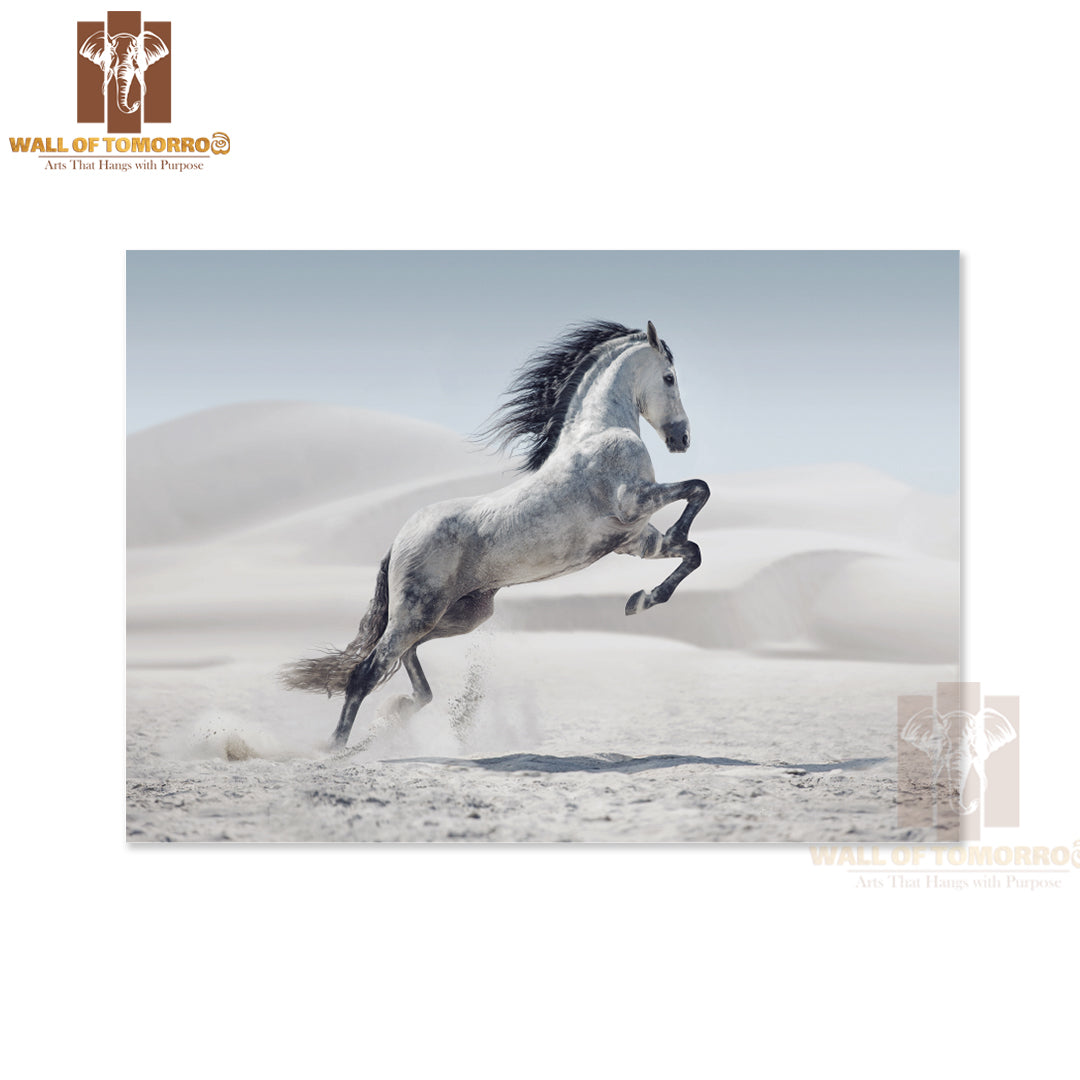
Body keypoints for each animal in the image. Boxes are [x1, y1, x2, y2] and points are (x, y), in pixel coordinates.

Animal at [280, 319, 710, 749]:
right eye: (669, 378)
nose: (683, 439)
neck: (599, 432)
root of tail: (399, 540)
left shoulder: (635, 540)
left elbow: (692, 551)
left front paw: (640, 600)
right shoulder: (633, 501)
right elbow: (698, 489)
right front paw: (657, 568)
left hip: (459, 615)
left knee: (406, 661)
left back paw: (396, 715)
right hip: (418, 613)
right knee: (367, 671)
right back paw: (337, 749)